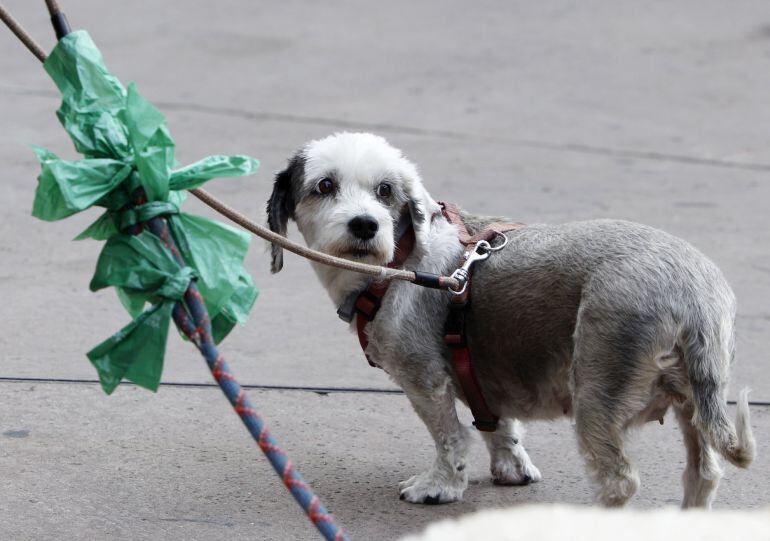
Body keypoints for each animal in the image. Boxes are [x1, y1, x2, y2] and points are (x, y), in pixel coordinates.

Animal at [268, 131, 752, 506]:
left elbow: (449, 437)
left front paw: (441, 486)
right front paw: (512, 467)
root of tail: (694, 293)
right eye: (325, 185)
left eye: (385, 190)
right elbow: (499, 426)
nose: (365, 224)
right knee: (703, 475)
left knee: (619, 481)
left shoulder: (424, 379)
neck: (399, 260)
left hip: (598, 388)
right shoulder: (485, 375)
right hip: (694, 401)